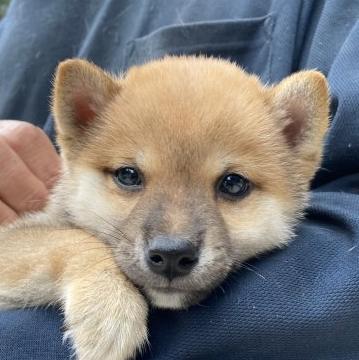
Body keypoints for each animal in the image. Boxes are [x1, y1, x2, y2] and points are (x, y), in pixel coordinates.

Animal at [0, 57, 330, 358]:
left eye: (234, 184)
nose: (172, 255)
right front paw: (109, 309)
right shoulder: (15, 237)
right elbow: (70, 239)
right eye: (128, 175)